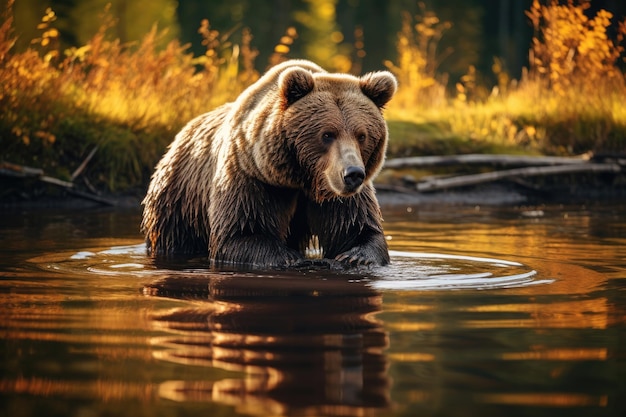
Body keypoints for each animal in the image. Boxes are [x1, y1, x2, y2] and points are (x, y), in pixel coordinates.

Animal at [141, 59, 394, 266]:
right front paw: (292, 258)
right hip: (180, 199)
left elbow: (356, 228)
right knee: (176, 237)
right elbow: (241, 232)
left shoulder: (339, 195)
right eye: (327, 134)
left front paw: (355, 256)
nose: (352, 174)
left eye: (361, 135)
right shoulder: (252, 177)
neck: (301, 178)